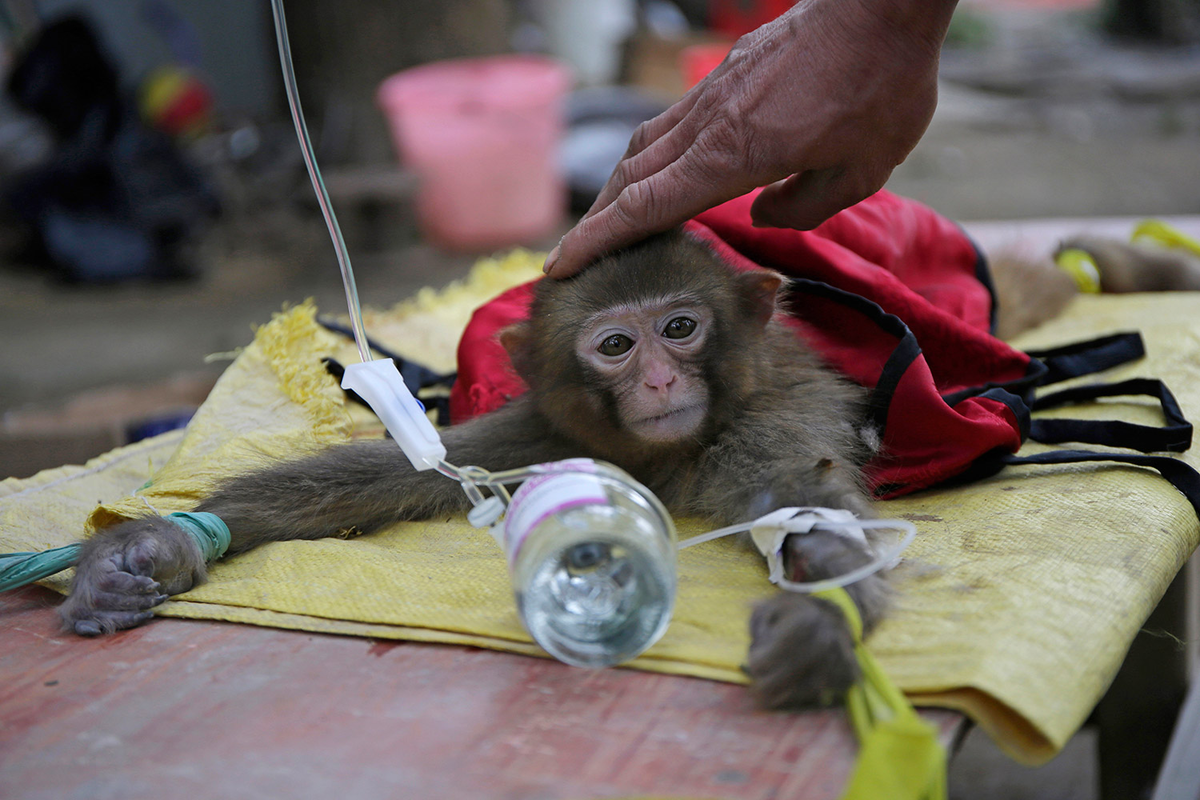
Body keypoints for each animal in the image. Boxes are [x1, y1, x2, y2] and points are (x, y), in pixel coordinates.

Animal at [56, 226, 1200, 705]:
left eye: (680, 327)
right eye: (614, 344)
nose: (654, 376)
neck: (673, 441)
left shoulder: (773, 412)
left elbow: (810, 502)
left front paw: (821, 622)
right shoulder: (544, 433)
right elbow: (386, 474)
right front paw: (148, 550)